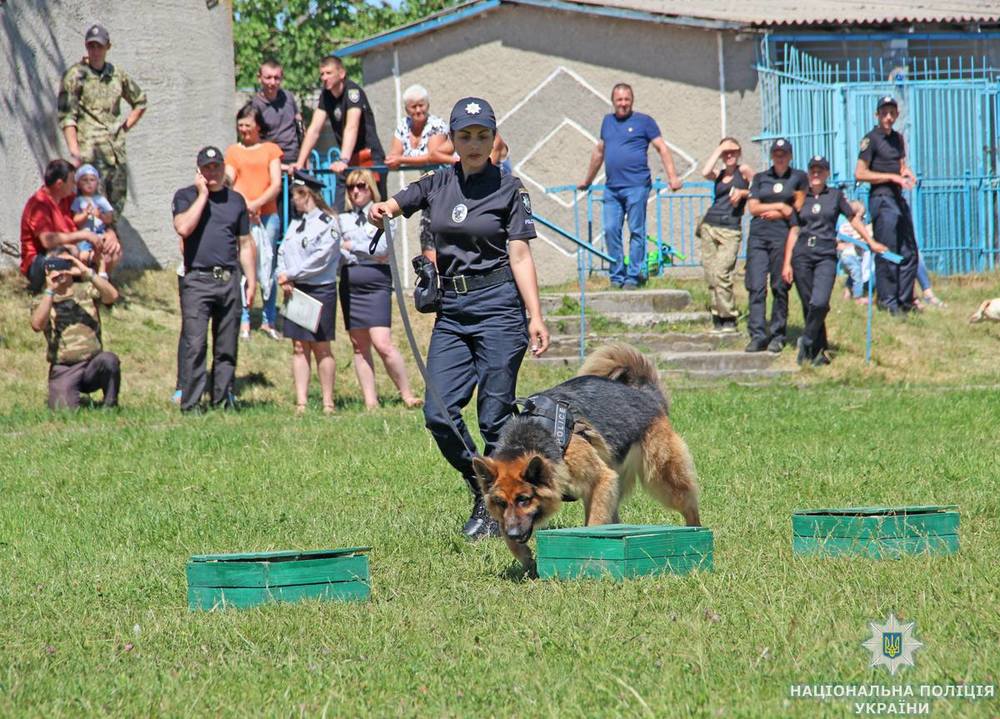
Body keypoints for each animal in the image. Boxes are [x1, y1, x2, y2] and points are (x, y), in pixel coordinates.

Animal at [473, 343, 700, 575]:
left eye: (524, 499)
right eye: (501, 503)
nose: (514, 533)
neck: (530, 439)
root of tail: (646, 394)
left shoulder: (601, 479)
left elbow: (593, 525)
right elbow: (508, 538)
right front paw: (526, 558)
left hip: (661, 478)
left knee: (689, 505)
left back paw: (696, 537)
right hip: (616, 486)